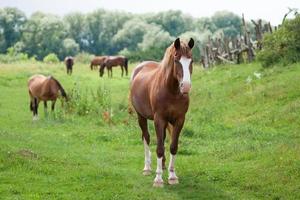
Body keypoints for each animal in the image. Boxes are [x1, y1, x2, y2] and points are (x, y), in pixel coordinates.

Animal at [130, 38, 193, 188]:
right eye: (176, 60)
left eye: (191, 60)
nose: (186, 86)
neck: (172, 91)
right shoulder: (159, 119)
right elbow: (159, 148)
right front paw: (158, 179)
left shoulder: (179, 120)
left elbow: (173, 146)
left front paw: (172, 176)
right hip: (141, 116)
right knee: (146, 137)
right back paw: (147, 168)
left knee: (161, 139)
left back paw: (163, 166)